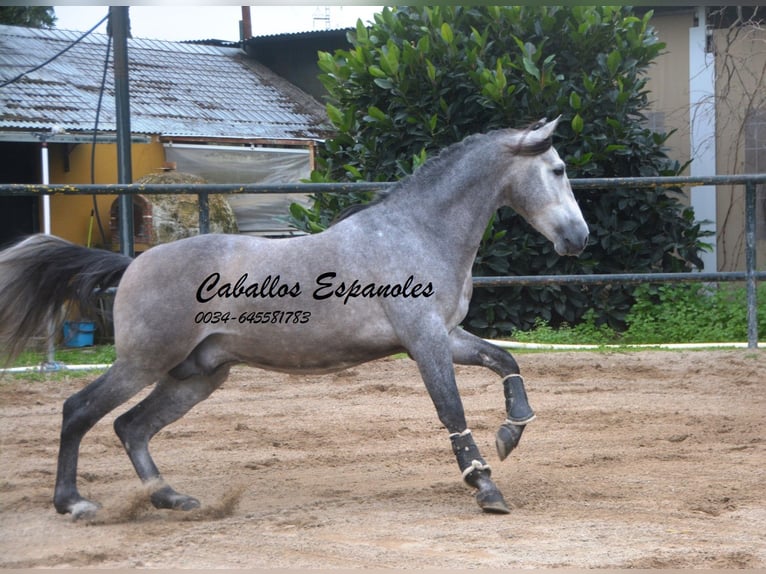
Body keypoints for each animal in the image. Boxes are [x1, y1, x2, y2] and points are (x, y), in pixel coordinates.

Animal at [0, 116, 592, 516]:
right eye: (559, 169)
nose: (579, 239)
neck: (417, 232)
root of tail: (133, 263)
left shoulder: (446, 335)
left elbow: (505, 359)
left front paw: (511, 434)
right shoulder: (424, 341)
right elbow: (451, 409)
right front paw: (485, 485)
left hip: (197, 376)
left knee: (131, 426)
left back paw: (171, 497)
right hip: (144, 362)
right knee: (80, 410)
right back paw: (73, 502)